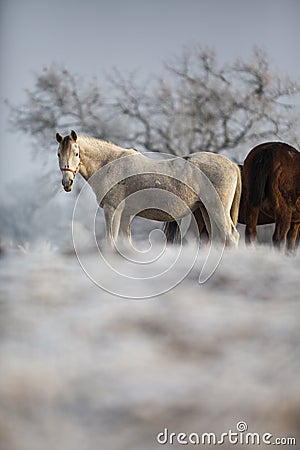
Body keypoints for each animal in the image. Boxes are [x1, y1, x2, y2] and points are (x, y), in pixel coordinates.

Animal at [55, 130, 240, 248]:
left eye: (76, 153)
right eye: (58, 154)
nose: (67, 182)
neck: (109, 163)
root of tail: (231, 164)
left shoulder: (112, 210)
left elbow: (111, 240)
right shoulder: (125, 214)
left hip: (216, 209)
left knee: (231, 237)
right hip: (206, 210)